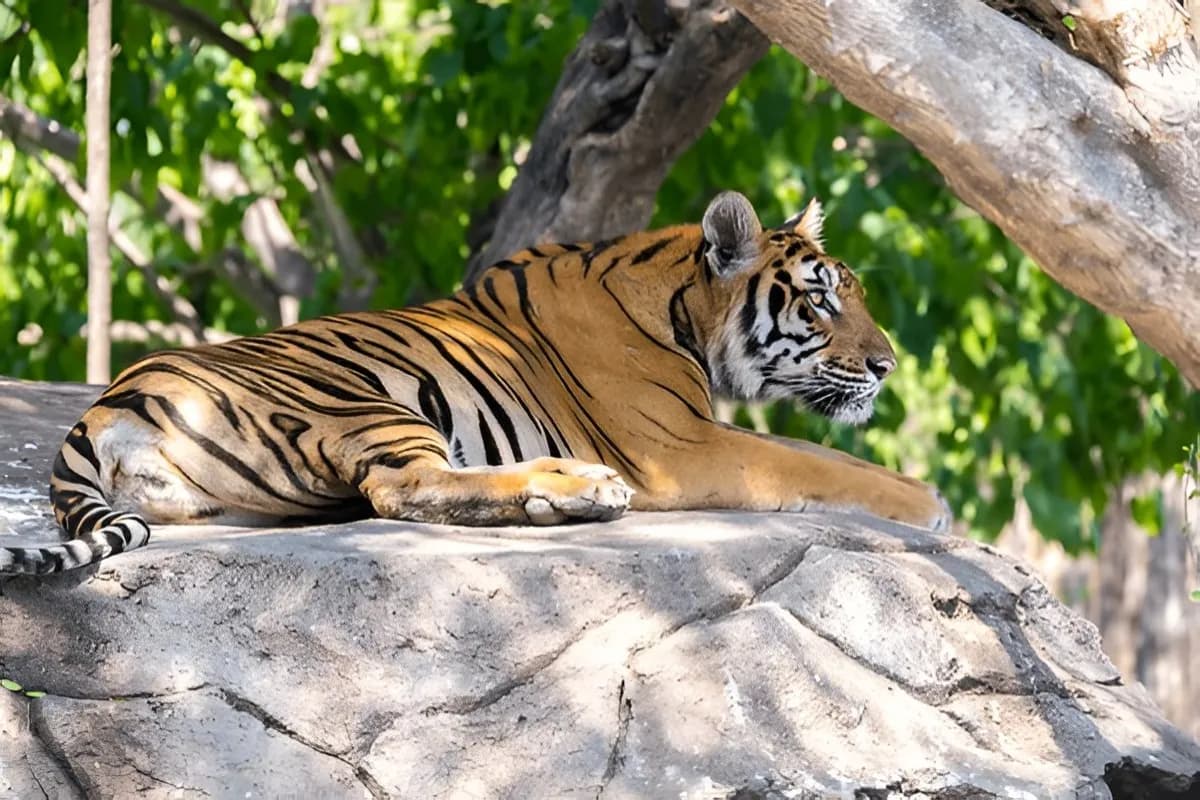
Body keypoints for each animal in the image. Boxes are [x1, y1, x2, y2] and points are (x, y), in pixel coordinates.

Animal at [0, 191, 950, 576]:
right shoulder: (680, 446)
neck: (682, 307)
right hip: (361, 397)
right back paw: (578, 490)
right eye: (822, 301)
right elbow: (813, 464)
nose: (887, 365)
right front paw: (929, 503)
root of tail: (98, 411)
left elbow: (825, 457)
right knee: (405, 490)